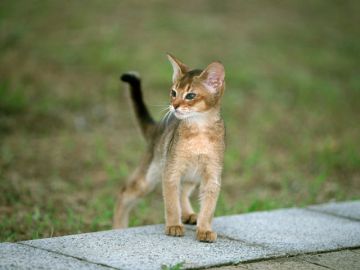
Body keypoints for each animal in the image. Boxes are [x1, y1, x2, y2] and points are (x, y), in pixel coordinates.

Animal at [113, 53, 225, 243]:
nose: (174, 105)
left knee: (183, 191)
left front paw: (204, 229)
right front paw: (174, 226)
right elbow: (172, 203)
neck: (199, 132)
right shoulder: (171, 171)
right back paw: (118, 227)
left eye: (190, 95)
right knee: (124, 192)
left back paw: (188, 214)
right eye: (173, 92)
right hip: (149, 178)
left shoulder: (212, 176)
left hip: (191, 176)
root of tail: (157, 127)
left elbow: (208, 208)